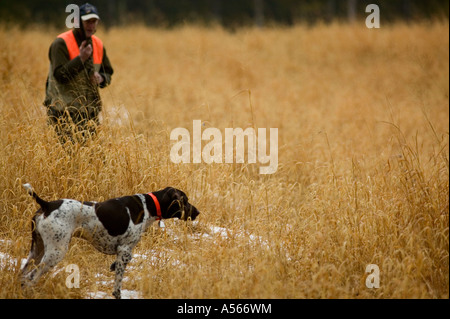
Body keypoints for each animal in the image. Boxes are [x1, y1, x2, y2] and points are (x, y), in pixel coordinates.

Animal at [19, 184, 199, 298]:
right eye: (185, 200)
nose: (197, 212)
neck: (148, 206)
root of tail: (47, 205)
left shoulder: (123, 254)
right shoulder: (124, 252)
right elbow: (117, 287)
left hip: (36, 250)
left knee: (22, 275)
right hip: (55, 252)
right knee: (30, 278)